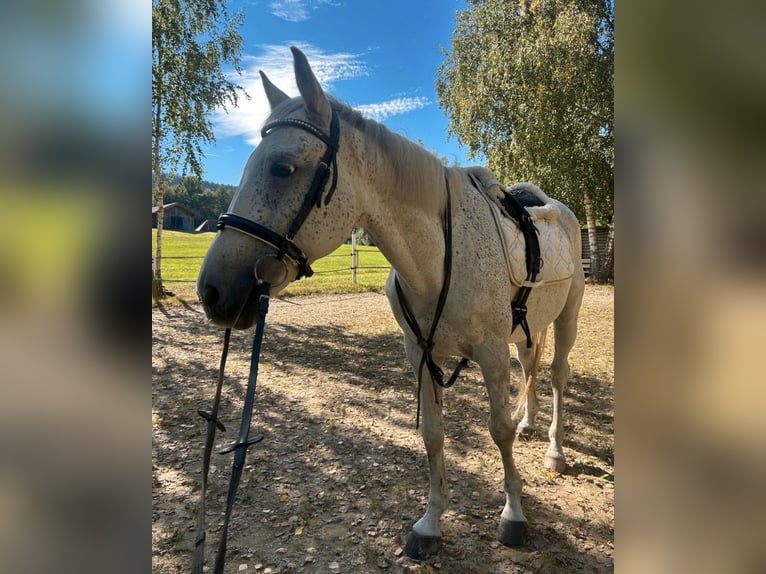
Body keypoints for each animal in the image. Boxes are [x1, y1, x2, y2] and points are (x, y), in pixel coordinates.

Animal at [197, 46, 585, 560]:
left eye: (283, 168)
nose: (212, 291)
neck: (438, 256)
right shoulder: (419, 353)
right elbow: (433, 434)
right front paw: (431, 523)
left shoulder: (490, 352)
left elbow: (496, 430)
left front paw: (513, 515)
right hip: (525, 330)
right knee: (532, 368)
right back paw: (530, 423)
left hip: (566, 316)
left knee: (557, 375)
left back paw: (554, 451)